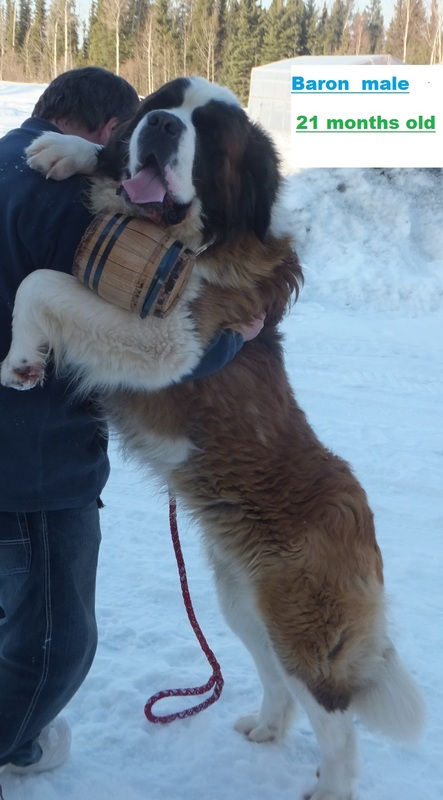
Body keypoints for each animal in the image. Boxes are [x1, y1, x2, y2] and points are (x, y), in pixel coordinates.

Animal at [0, 76, 424, 800]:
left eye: (214, 133)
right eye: (162, 104)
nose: (165, 127)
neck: (194, 235)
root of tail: (358, 513)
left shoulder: (170, 340)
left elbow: (41, 280)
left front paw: (23, 358)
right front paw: (65, 150)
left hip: (301, 621)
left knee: (335, 717)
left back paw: (331, 785)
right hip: (241, 601)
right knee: (278, 679)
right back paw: (266, 728)